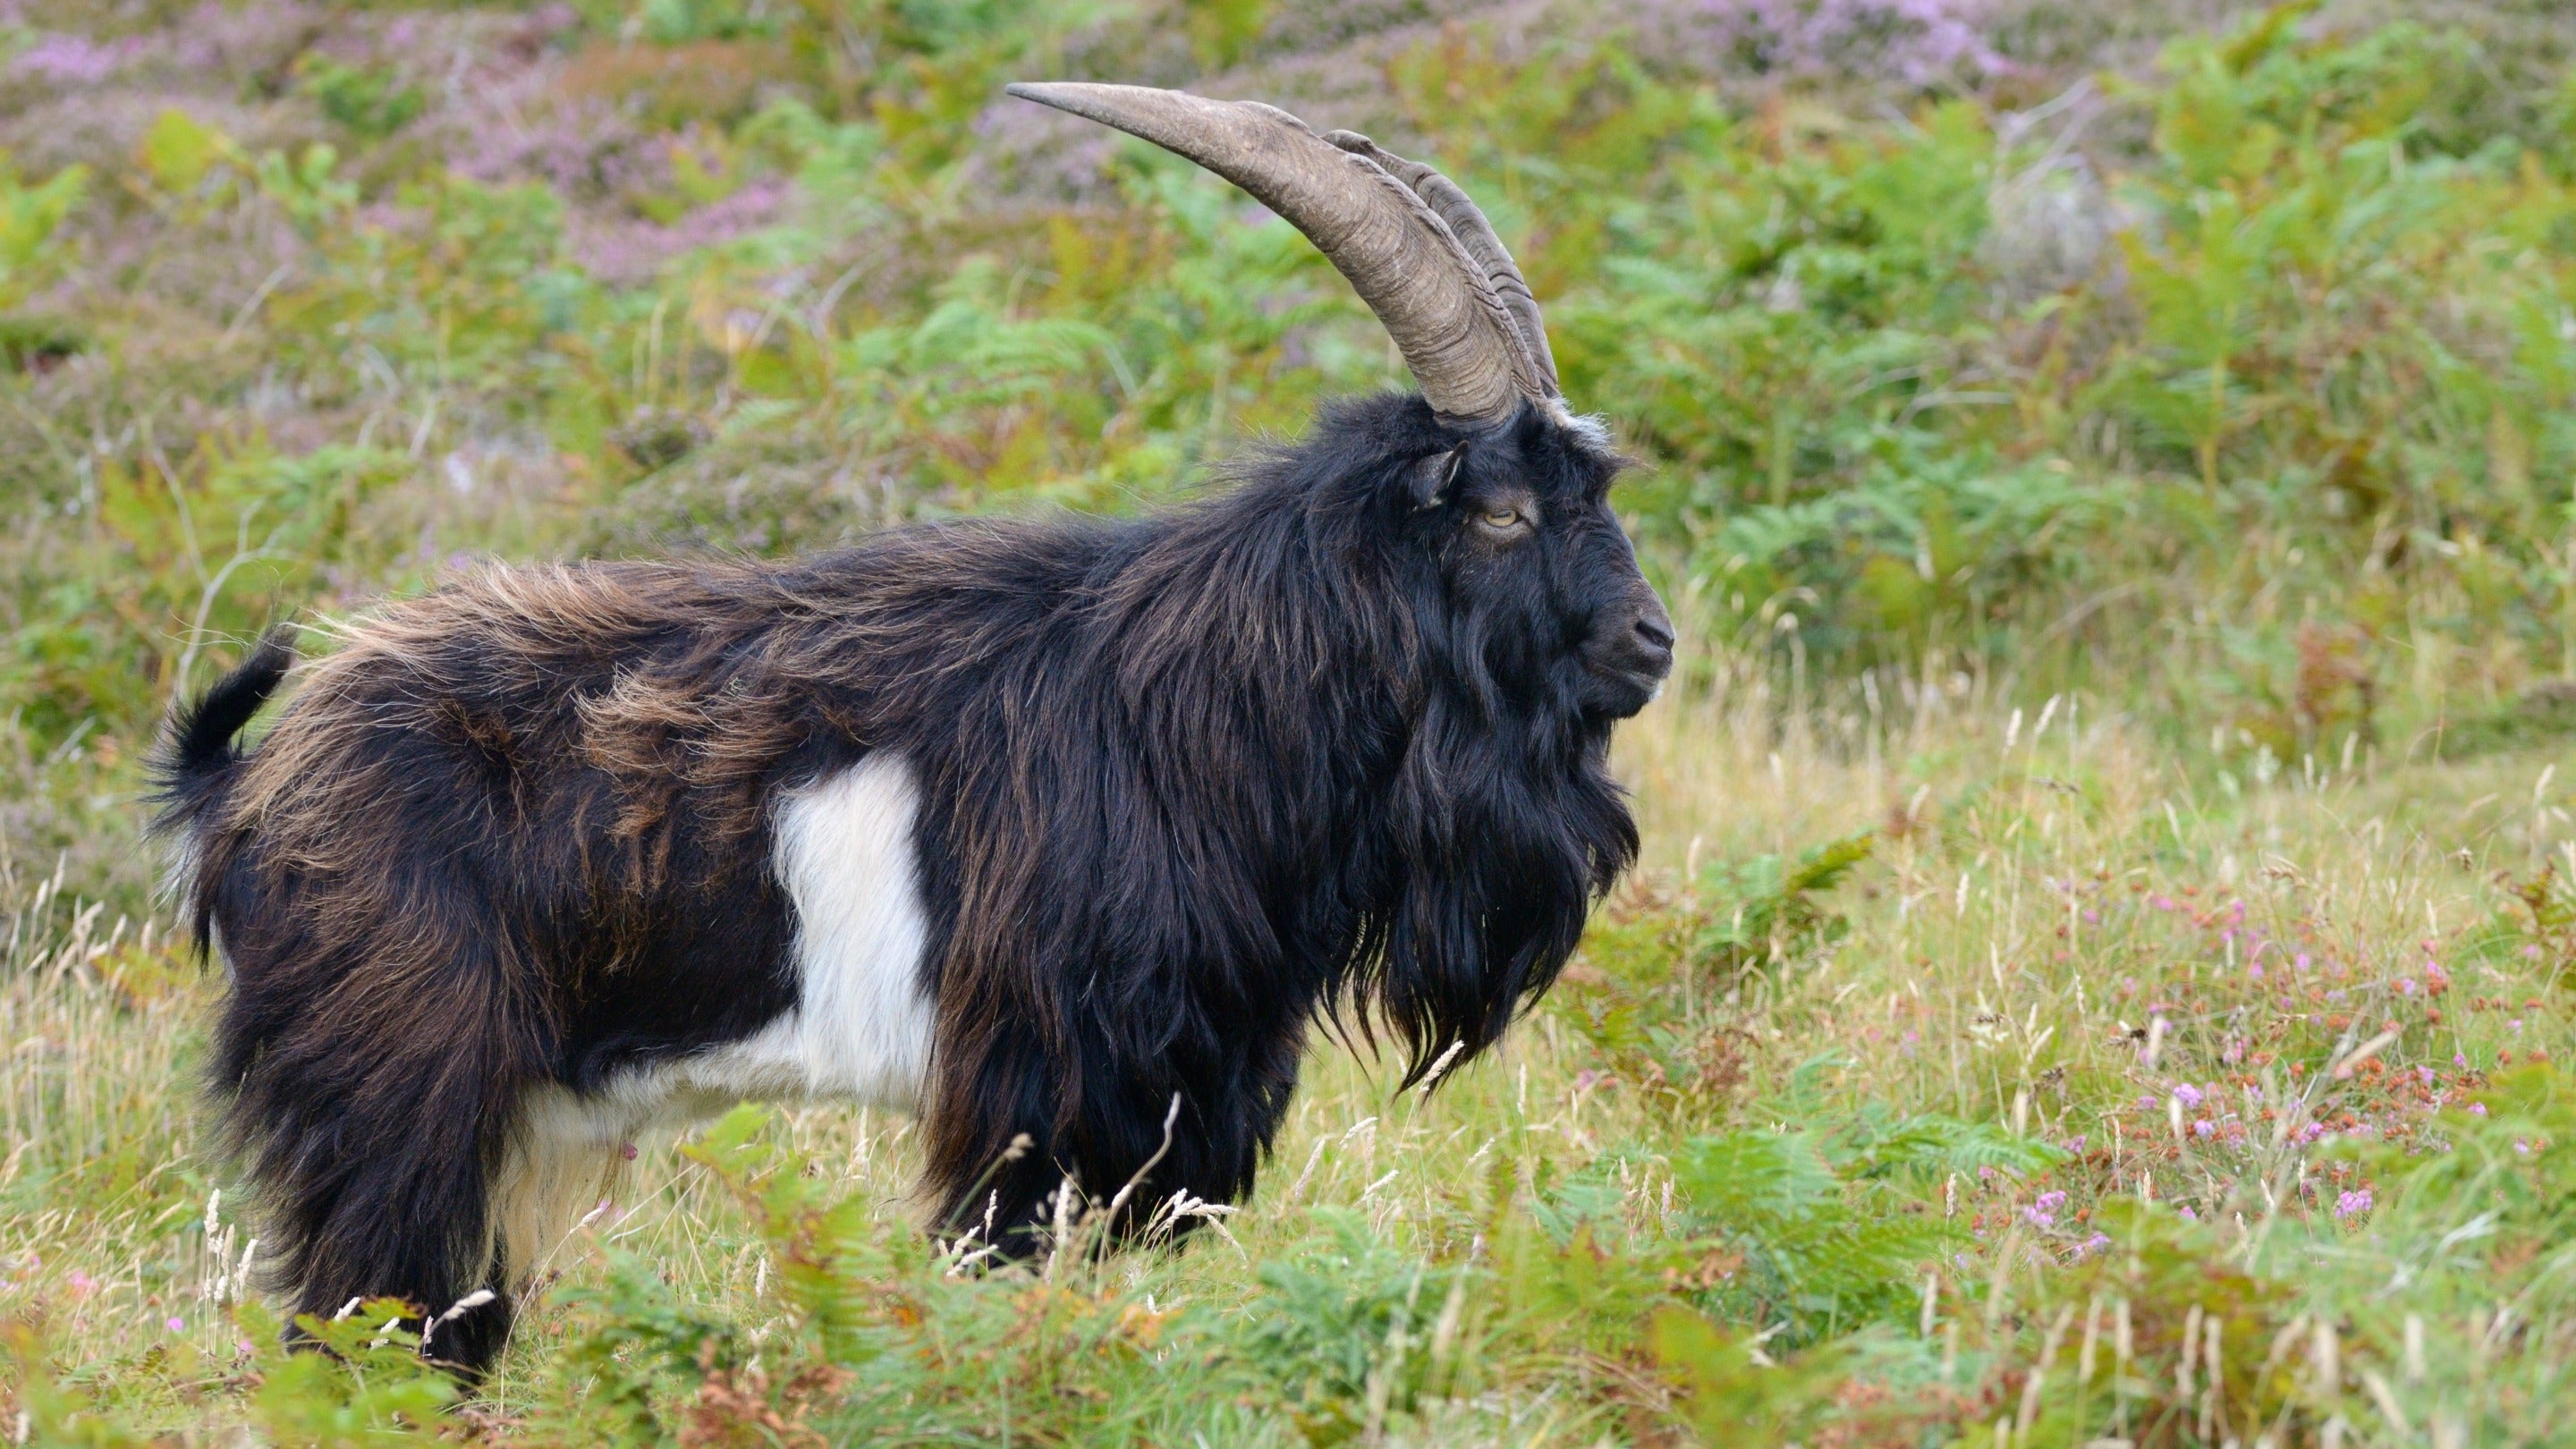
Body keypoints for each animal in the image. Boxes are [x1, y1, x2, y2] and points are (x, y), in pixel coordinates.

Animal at [152, 83, 1675, 1376]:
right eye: (1504, 511)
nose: (1652, 644)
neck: (1181, 710)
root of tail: (252, 786)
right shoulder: (1034, 1102)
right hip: (395, 1101)